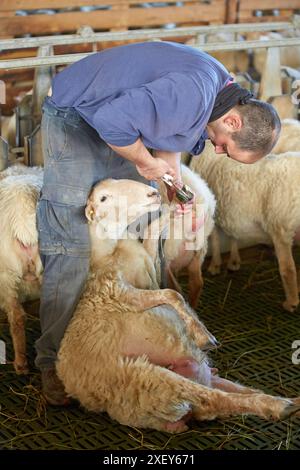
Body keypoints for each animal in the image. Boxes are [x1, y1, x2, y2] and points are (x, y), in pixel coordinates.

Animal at [55, 177, 300, 434]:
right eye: (103, 198)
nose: (153, 193)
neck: (112, 249)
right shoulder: (119, 292)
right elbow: (173, 294)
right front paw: (203, 335)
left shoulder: (151, 272)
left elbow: (153, 232)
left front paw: (175, 206)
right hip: (154, 379)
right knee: (212, 399)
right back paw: (278, 406)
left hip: (198, 379)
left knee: (229, 394)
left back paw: (292, 401)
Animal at [191, 141, 300, 314]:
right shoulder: (231, 212)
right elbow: (232, 234)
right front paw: (234, 261)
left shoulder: (211, 210)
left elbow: (215, 238)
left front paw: (215, 265)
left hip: (279, 226)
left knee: (288, 268)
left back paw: (291, 303)